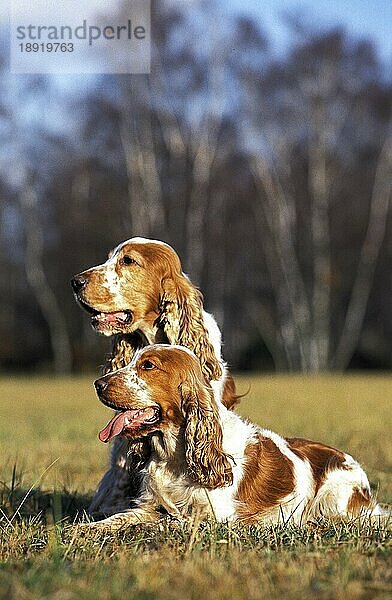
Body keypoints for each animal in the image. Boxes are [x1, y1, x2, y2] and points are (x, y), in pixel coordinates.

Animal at [90, 344, 388, 528]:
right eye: (131, 361)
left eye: (148, 366)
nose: (98, 384)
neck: (175, 455)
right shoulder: (150, 504)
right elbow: (120, 518)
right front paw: (85, 529)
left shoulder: (215, 516)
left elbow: (170, 520)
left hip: (336, 500)